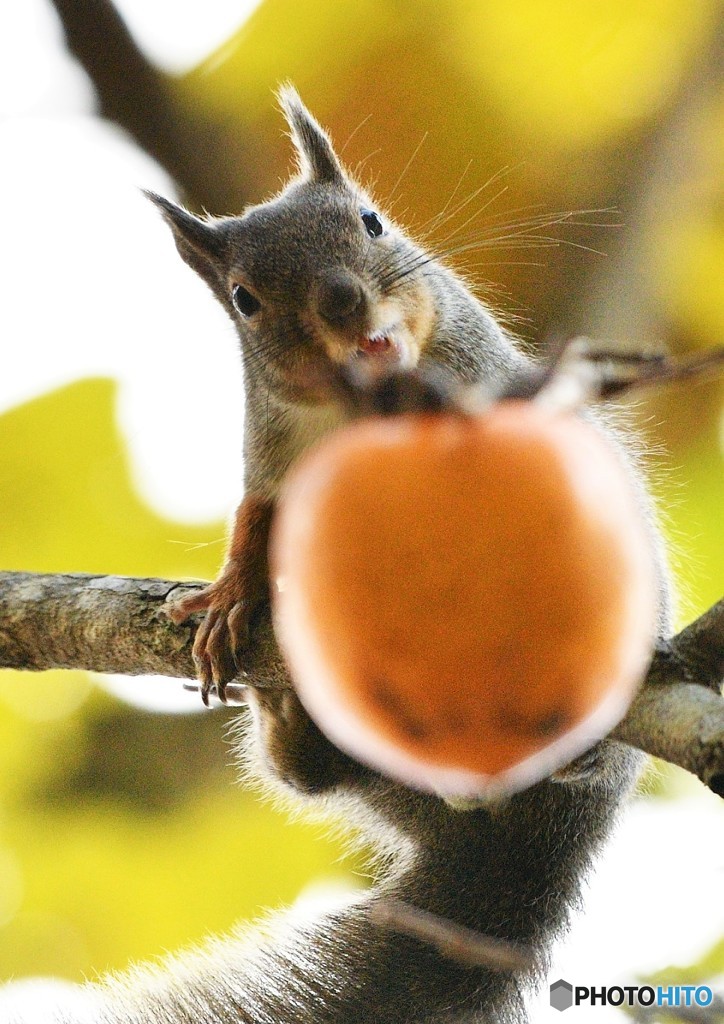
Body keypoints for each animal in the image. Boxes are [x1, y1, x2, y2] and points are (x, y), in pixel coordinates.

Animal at [7, 88, 675, 1024]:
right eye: (244, 299)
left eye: (372, 221)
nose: (342, 301)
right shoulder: (273, 460)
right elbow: (258, 522)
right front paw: (231, 595)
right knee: (316, 777)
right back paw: (290, 726)